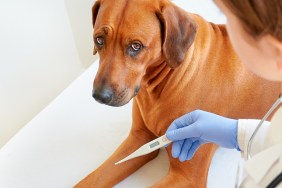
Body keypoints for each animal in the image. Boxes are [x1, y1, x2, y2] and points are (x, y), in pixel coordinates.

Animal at [75, 0, 280, 187]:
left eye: (135, 46)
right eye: (99, 40)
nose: (100, 96)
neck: (165, 82)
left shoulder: (186, 177)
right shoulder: (138, 139)